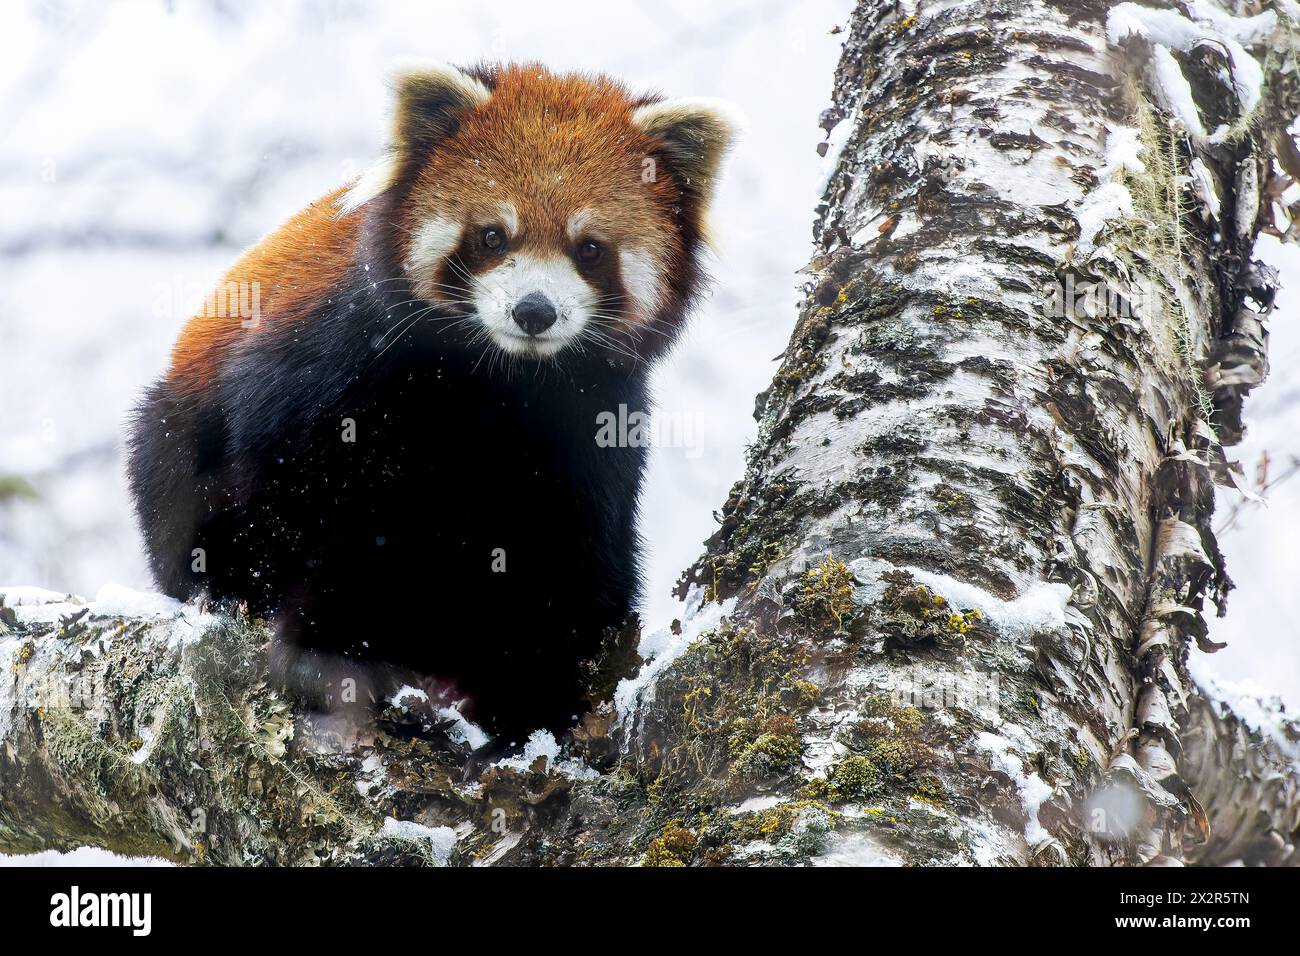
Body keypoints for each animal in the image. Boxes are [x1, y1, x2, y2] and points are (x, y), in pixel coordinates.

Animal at [126, 63, 738, 743]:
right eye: (493, 236)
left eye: (590, 248)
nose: (534, 311)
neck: (496, 383)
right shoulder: (336, 365)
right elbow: (302, 500)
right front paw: (325, 644)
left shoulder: (592, 425)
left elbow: (573, 555)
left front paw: (539, 696)